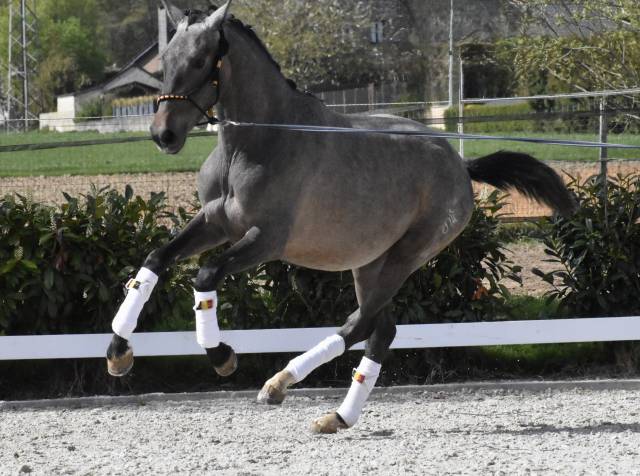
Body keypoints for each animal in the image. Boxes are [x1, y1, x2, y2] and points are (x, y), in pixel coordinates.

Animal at [106, 3, 576, 434]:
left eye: (202, 60)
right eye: (167, 61)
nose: (163, 135)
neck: (258, 143)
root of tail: (460, 163)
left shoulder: (266, 240)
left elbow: (205, 276)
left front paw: (222, 356)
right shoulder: (215, 223)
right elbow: (154, 261)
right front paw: (118, 354)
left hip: (406, 255)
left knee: (362, 323)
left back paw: (281, 384)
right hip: (369, 262)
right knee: (381, 330)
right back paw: (336, 416)